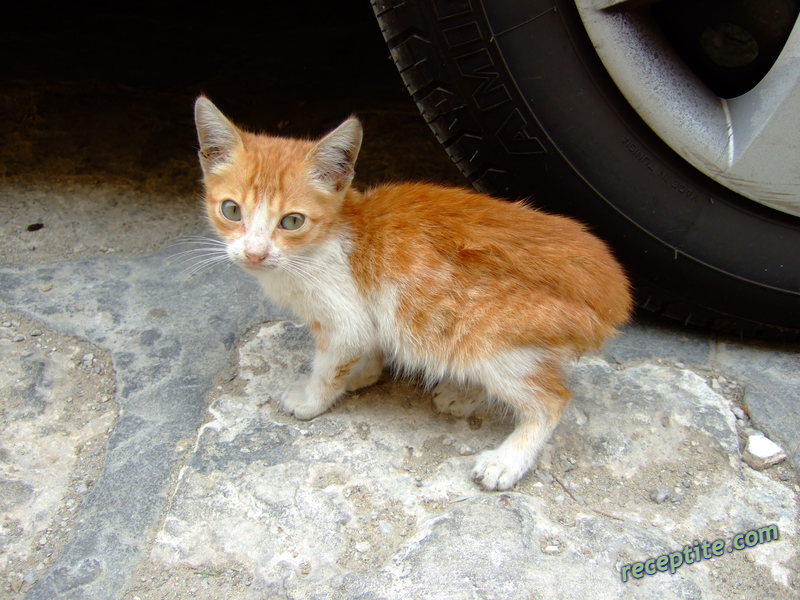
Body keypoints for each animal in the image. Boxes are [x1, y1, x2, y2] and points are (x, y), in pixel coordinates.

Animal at [192, 96, 632, 490]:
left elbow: (330, 363)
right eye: (231, 210)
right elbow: (368, 346)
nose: (254, 253)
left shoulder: (344, 318)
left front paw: (312, 399)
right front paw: (364, 373)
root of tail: (612, 292)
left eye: (292, 221)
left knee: (551, 399)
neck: (329, 237)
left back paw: (507, 460)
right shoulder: (366, 314)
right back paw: (464, 394)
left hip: (489, 337)